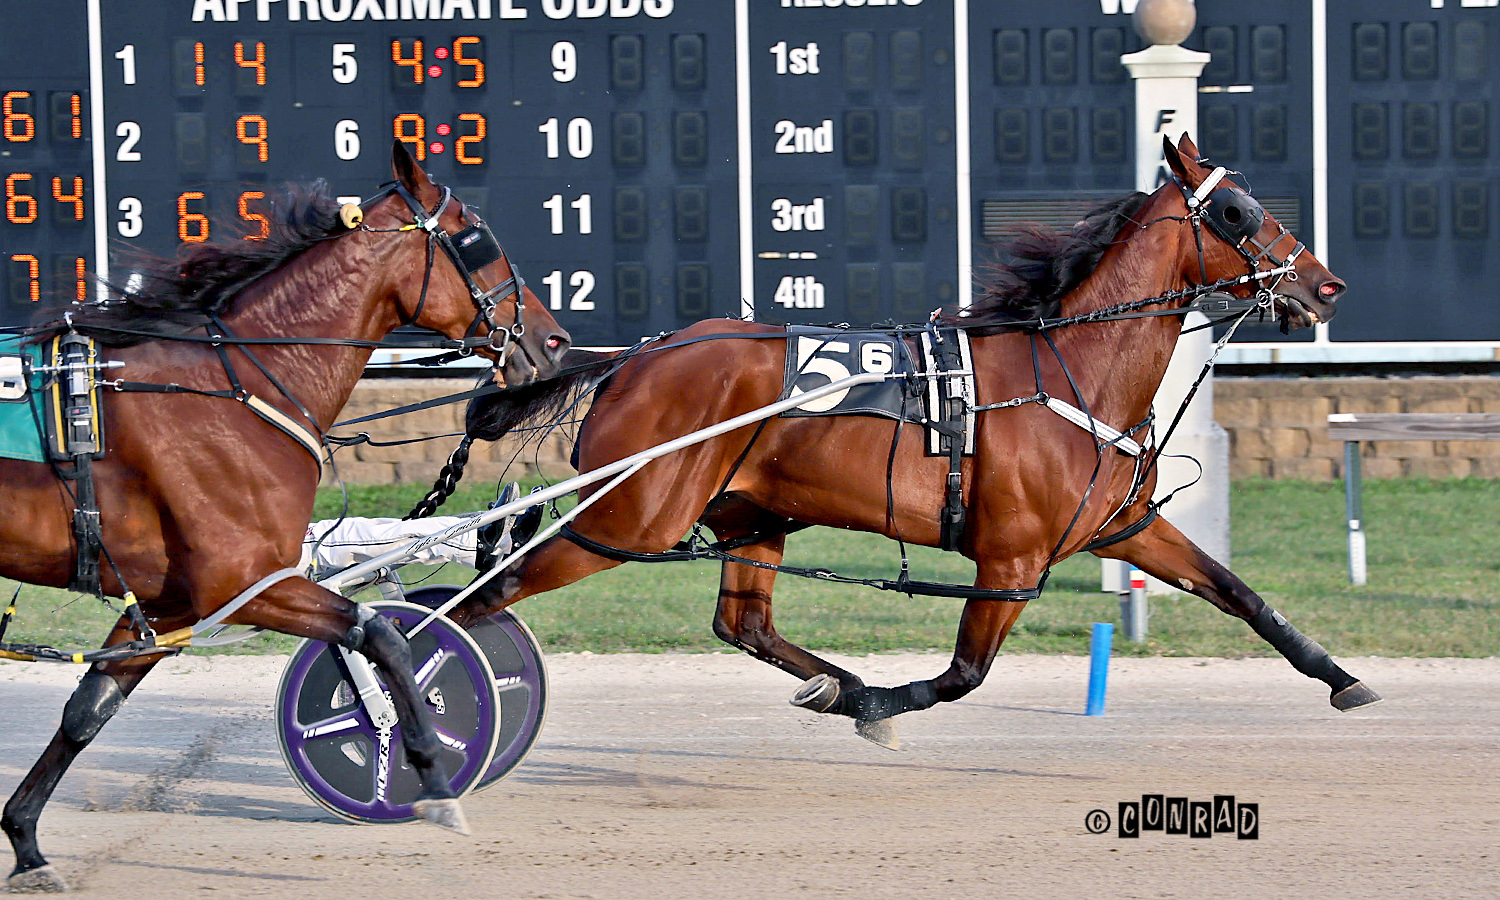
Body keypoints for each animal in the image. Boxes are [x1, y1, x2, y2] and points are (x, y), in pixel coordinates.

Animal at [0, 141, 570, 891]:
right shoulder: (249, 582)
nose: (555, 341)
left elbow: (87, 710)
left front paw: (26, 841)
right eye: (475, 236)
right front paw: (429, 775)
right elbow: (377, 637)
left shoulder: (172, 598)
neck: (229, 388)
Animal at [443, 134, 1379, 743]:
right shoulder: (1010, 558)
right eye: (1237, 211)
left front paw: (1345, 680)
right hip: (626, 520)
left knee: (743, 624)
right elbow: (965, 675)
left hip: (748, 516)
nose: (1327, 286)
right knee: (488, 594)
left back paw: (837, 684)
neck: (1070, 368)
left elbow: (1240, 594)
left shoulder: (1126, 526)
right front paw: (882, 710)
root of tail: (634, 357)